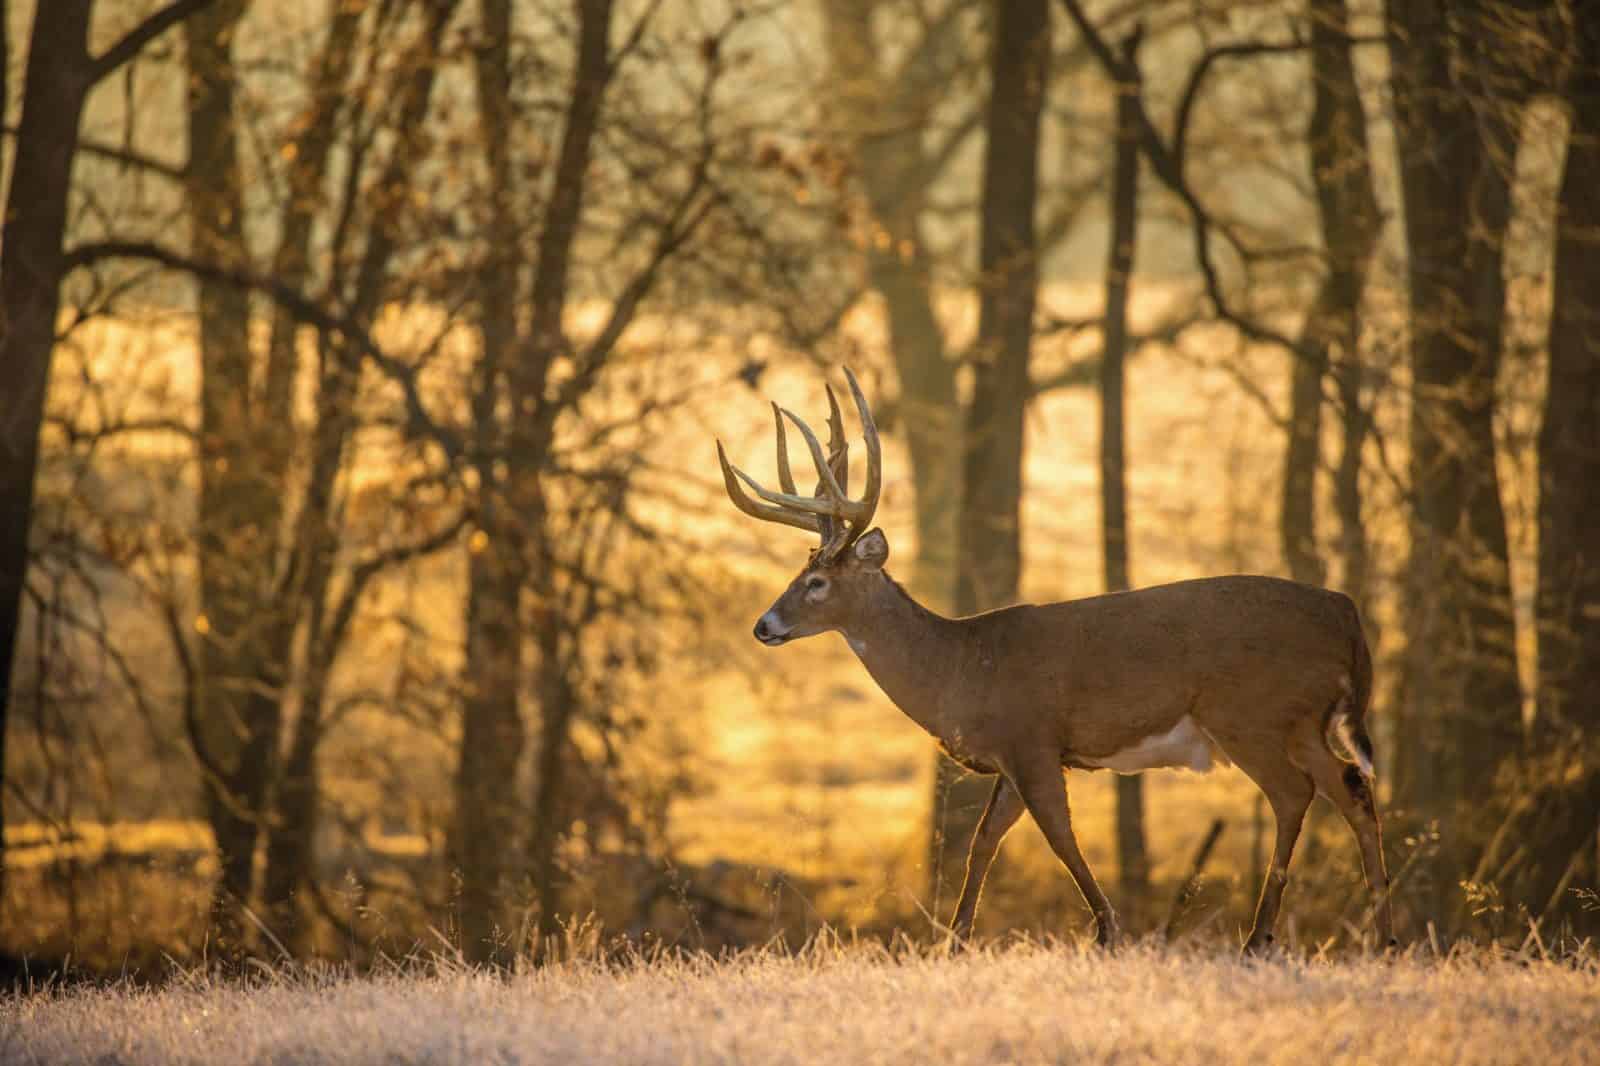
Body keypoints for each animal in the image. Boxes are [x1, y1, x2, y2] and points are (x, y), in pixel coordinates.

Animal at [715, 368, 1396, 954]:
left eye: (817, 584)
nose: (763, 625)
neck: (963, 668)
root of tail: (1346, 613)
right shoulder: (1011, 759)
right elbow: (984, 842)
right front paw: (952, 943)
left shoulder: (1034, 739)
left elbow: (1059, 836)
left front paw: (1108, 932)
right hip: (1302, 720)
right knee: (1350, 784)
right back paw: (1382, 936)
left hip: (1248, 713)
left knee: (1294, 792)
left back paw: (1261, 938)